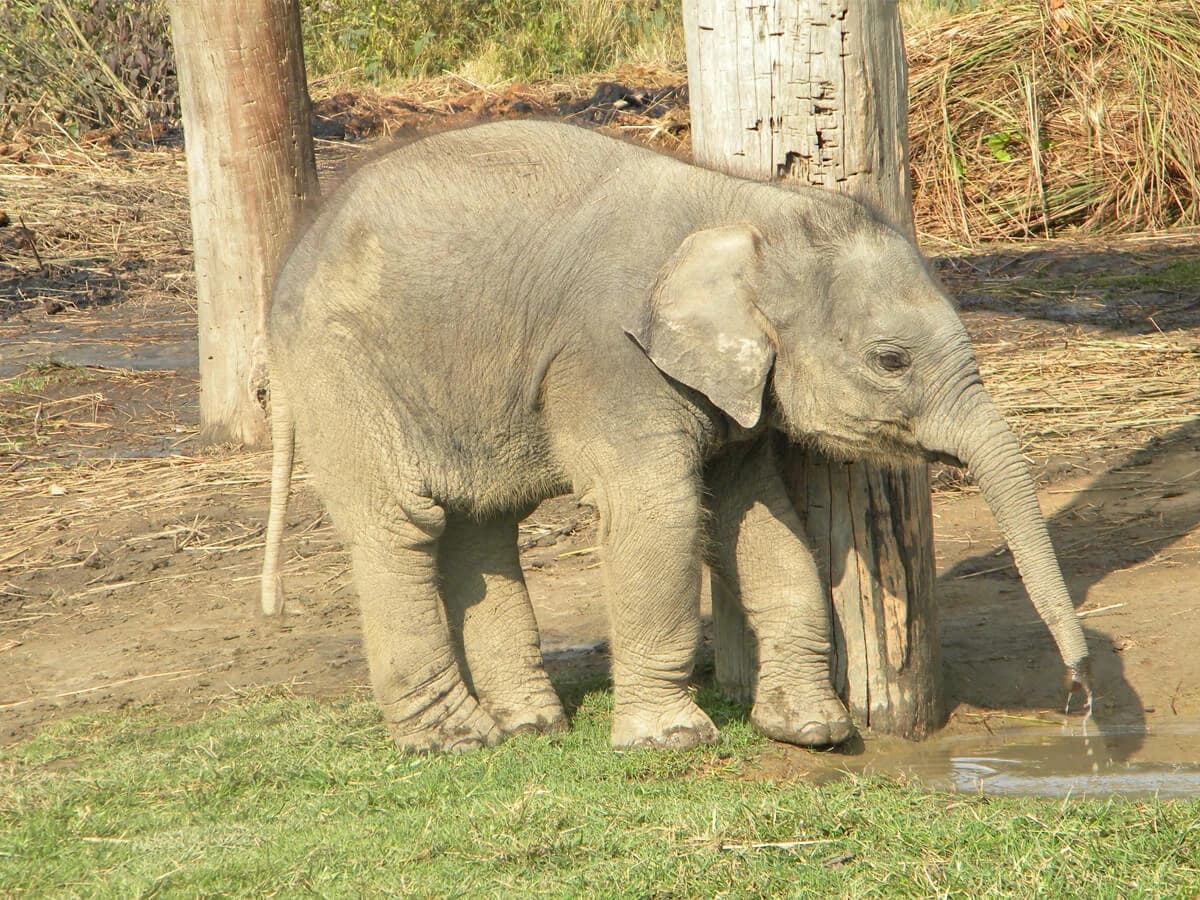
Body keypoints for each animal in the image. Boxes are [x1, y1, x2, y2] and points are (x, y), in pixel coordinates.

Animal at [260, 120, 1092, 754]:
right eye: (891, 360)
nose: (1079, 695)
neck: (746, 209)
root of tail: (285, 274)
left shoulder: (735, 388)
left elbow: (757, 518)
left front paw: (813, 730)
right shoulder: (612, 359)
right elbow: (658, 512)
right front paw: (674, 739)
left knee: (482, 523)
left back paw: (532, 726)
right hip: (341, 372)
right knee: (400, 525)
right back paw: (457, 740)